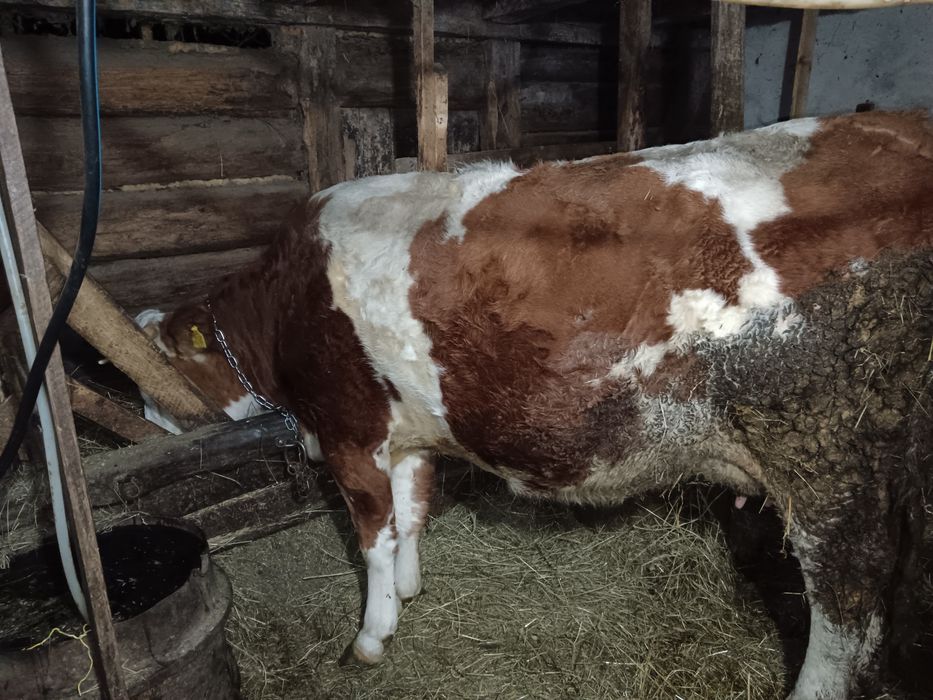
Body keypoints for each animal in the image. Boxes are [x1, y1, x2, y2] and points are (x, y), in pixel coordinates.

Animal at [136, 111, 933, 700]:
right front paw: (411, 592)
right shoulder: (408, 430)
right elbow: (412, 511)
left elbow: (374, 535)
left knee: (847, 606)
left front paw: (370, 635)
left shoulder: (348, 430)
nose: (143, 425)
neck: (283, 307)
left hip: (827, 457)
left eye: (154, 372)